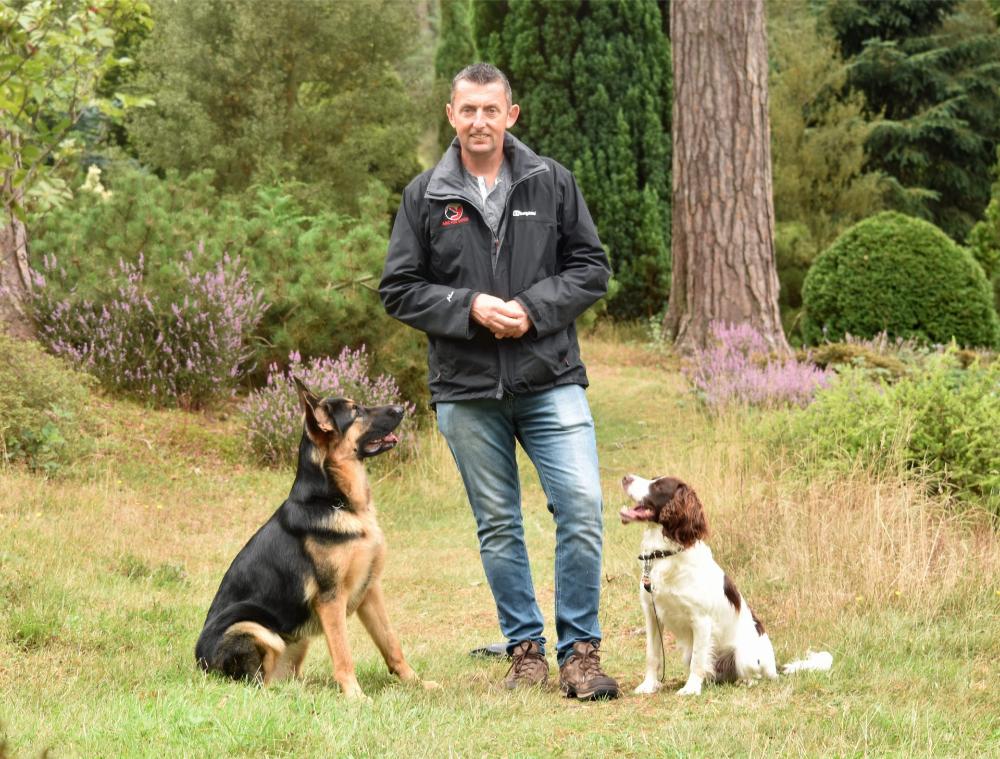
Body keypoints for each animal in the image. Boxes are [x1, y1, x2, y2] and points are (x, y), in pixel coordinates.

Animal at [193, 380, 436, 700]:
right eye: (356, 411)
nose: (401, 408)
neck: (334, 501)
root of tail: (199, 665)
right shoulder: (331, 599)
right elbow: (343, 654)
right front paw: (355, 696)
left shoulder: (370, 591)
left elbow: (391, 643)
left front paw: (415, 682)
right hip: (254, 627)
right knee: (255, 683)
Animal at [620, 478, 832, 696]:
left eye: (658, 486)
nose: (626, 478)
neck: (666, 554)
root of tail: (775, 666)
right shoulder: (652, 614)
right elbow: (652, 655)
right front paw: (648, 685)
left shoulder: (701, 620)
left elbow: (698, 660)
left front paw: (691, 689)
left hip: (744, 655)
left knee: (754, 676)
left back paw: (743, 682)